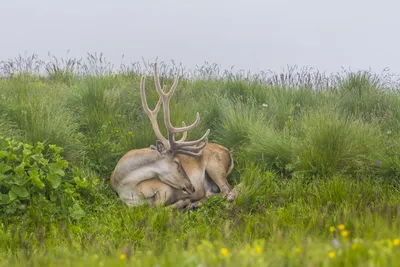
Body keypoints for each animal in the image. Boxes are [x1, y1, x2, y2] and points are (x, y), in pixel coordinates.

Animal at [109, 63, 236, 209]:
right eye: (177, 163)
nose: (192, 187)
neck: (124, 185)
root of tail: (228, 152)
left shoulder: (164, 188)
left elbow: (159, 207)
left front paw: (183, 202)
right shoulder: (131, 204)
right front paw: (185, 202)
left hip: (215, 166)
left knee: (228, 190)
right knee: (213, 192)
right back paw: (194, 203)